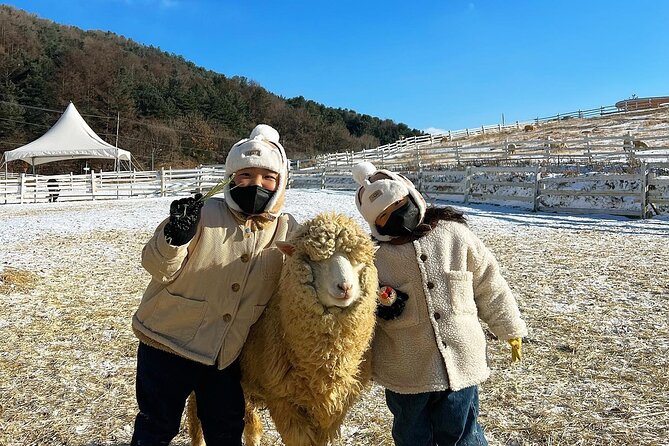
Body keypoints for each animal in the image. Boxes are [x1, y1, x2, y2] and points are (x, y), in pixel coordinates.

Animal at [188, 213, 378, 446]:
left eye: (358, 260)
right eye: (311, 259)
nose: (345, 288)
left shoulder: (333, 410)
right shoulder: (282, 400)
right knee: (195, 412)